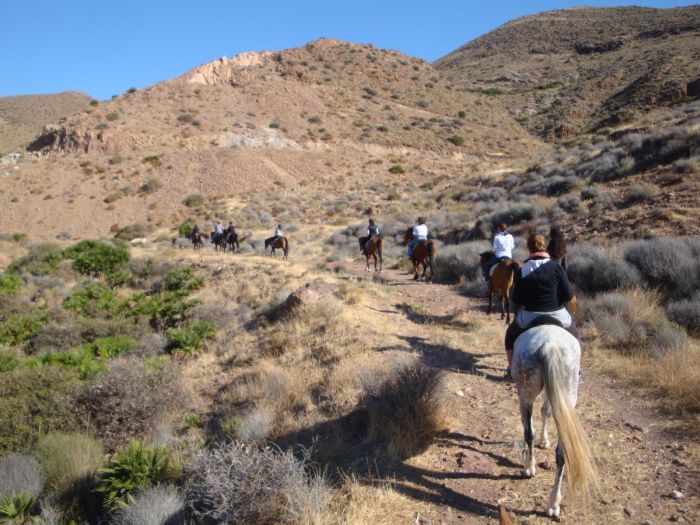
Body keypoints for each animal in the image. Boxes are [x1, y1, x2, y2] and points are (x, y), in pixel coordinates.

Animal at [512, 324, 600, 516]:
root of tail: (549, 345)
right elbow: (546, 412)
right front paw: (544, 441)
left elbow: (536, 417)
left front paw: (540, 443)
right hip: (565, 394)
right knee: (562, 452)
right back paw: (553, 504)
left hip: (526, 393)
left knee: (529, 431)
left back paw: (529, 467)